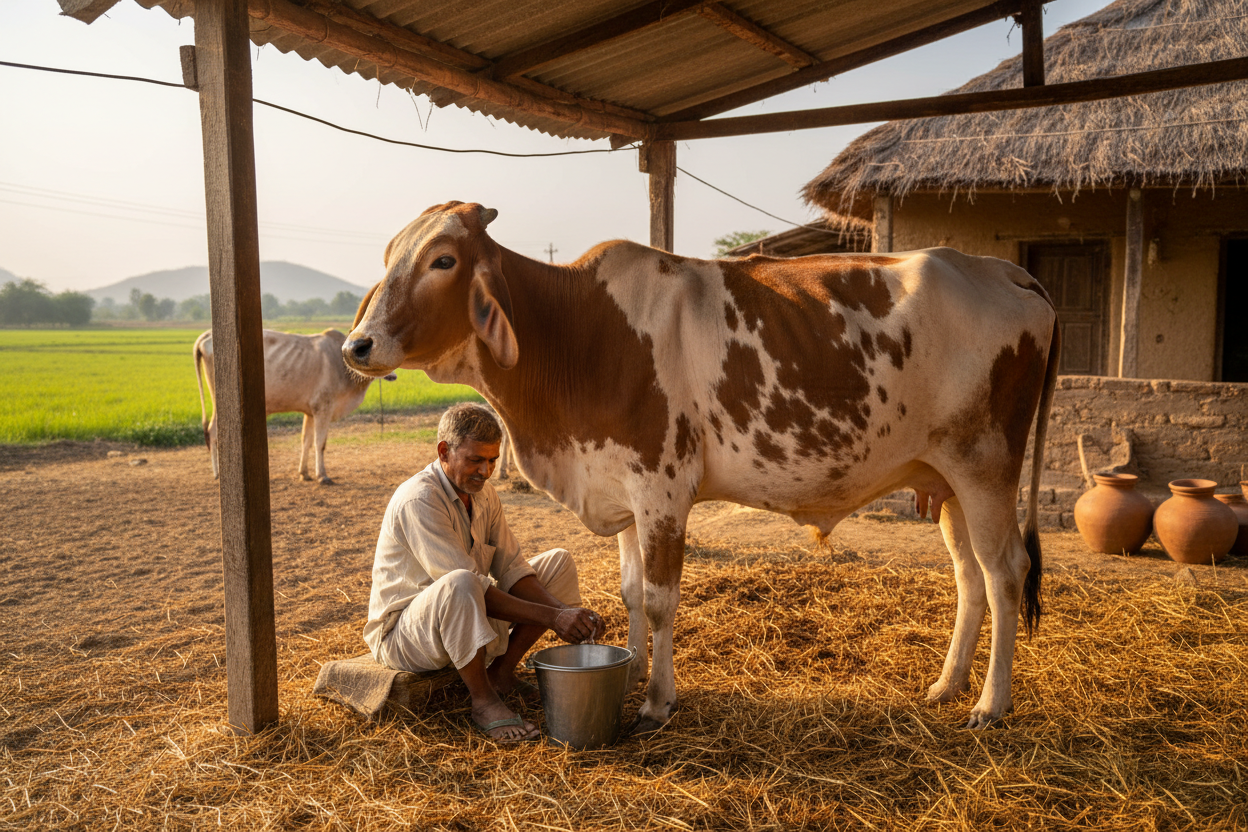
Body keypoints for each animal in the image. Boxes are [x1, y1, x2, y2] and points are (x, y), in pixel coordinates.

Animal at [194, 328, 395, 484]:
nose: (393, 374)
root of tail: (207, 334)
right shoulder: (323, 409)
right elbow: (320, 443)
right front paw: (322, 475)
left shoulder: (310, 412)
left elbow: (306, 441)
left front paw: (304, 473)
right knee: (212, 432)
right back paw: (217, 473)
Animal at [342, 201, 1060, 737]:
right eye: (388, 255)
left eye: (443, 260)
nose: (357, 345)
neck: (579, 335)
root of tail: (1002, 271)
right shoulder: (621, 488)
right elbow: (632, 592)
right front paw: (630, 670)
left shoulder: (662, 488)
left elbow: (661, 599)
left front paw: (658, 701)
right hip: (946, 479)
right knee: (969, 577)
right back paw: (947, 684)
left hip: (987, 465)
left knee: (1004, 573)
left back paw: (990, 704)